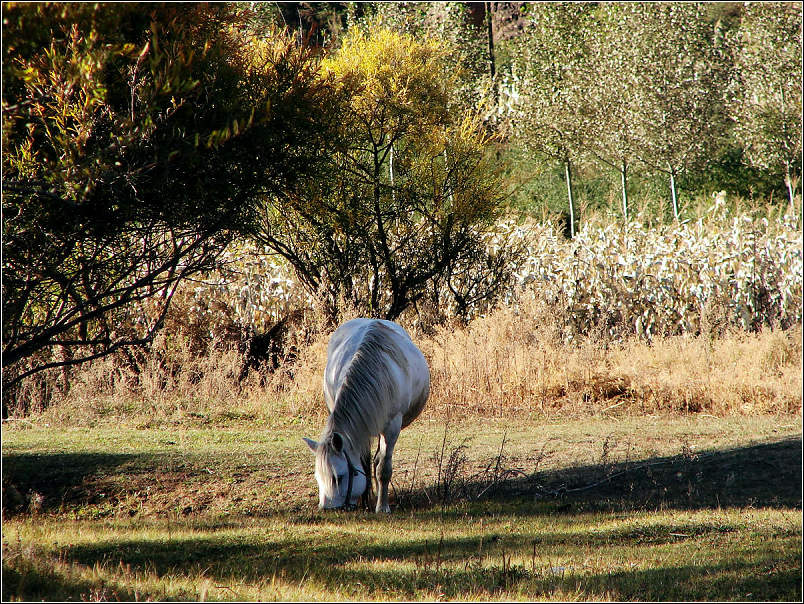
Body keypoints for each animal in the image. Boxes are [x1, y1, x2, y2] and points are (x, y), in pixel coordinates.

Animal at [304, 318, 430, 512]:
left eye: (338, 477)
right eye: (318, 478)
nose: (327, 509)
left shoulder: (392, 427)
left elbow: (382, 468)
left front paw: (382, 506)